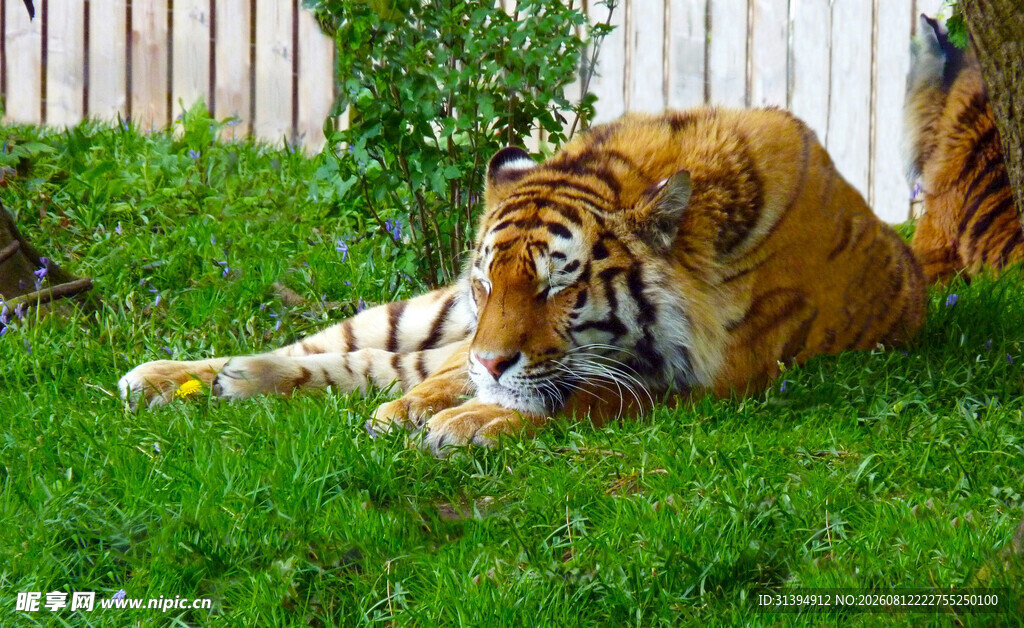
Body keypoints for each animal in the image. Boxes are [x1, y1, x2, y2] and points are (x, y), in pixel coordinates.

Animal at [120, 106, 926, 456]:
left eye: (555, 287)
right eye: (489, 283)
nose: (492, 358)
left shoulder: (720, 374)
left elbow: (585, 395)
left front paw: (468, 420)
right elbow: (458, 380)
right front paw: (445, 410)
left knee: (385, 364)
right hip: (423, 315)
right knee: (351, 347)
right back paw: (175, 377)